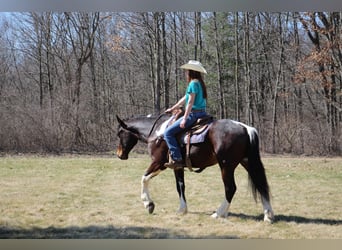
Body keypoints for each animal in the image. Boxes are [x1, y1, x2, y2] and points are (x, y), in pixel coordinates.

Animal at [116, 112, 274, 222]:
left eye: (119, 133)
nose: (119, 154)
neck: (157, 133)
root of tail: (246, 128)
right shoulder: (177, 167)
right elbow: (180, 186)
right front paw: (182, 209)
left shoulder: (158, 163)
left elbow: (144, 178)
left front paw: (148, 204)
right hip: (247, 162)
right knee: (261, 184)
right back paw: (268, 215)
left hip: (226, 165)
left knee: (231, 188)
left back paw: (218, 213)